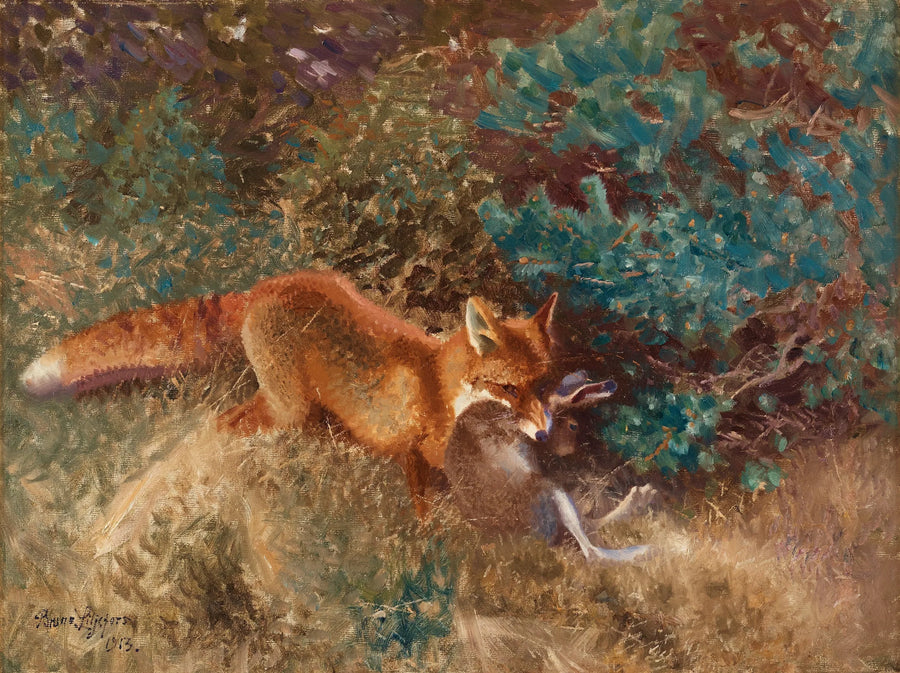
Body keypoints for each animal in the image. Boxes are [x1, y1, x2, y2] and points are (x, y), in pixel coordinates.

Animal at [21, 269, 559, 514]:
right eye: (508, 387)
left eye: (541, 383)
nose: (544, 431)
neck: (437, 381)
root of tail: (262, 288)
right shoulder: (419, 458)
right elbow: (431, 521)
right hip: (285, 409)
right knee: (220, 427)